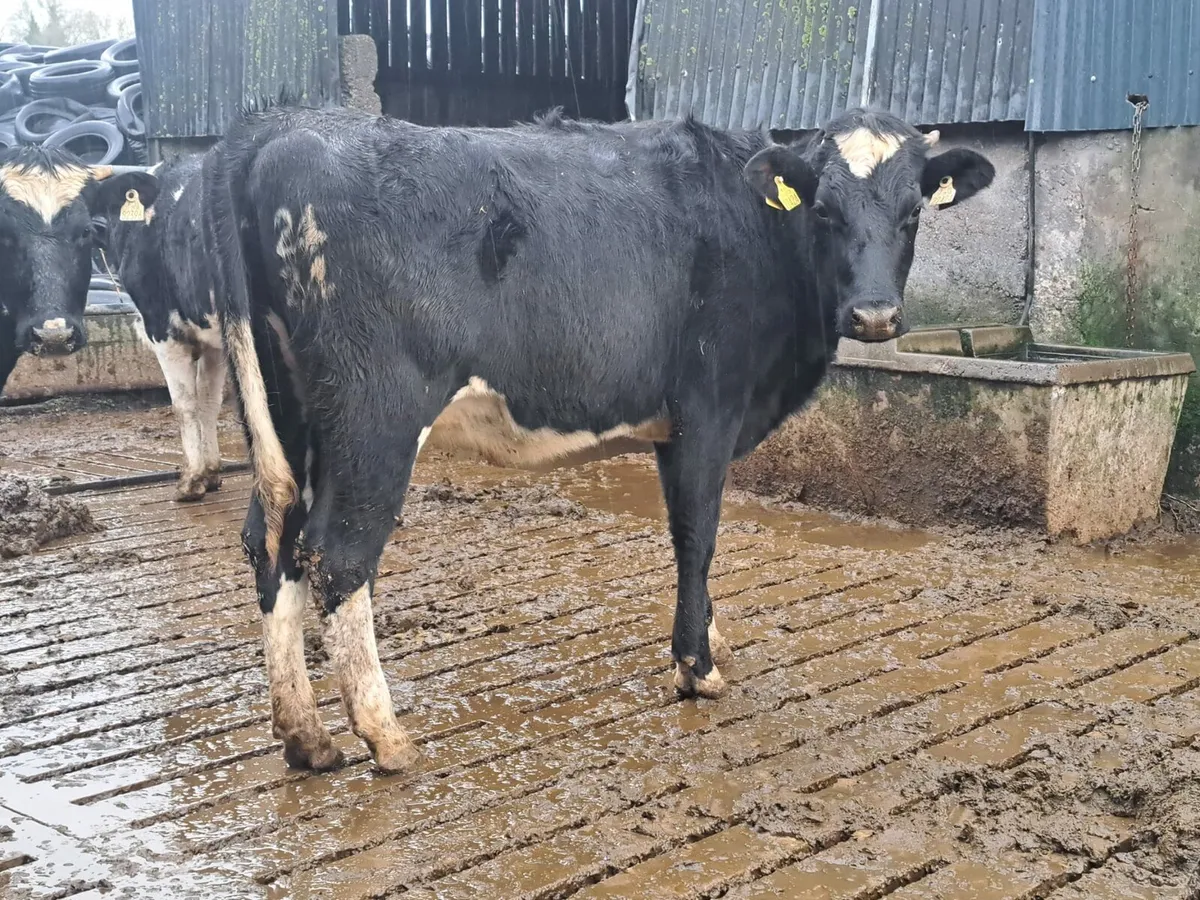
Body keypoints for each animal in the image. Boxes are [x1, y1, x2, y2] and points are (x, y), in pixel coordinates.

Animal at [86, 155, 228, 501]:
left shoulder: (163, 329)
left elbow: (184, 404)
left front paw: (192, 481)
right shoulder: (212, 338)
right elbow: (209, 401)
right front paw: (211, 473)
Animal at [200, 102, 994, 774]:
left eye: (913, 213)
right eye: (824, 210)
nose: (874, 314)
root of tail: (277, 128)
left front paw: (710, 639)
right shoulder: (708, 407)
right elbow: (698, 534)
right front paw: (696, 667)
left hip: (291, 416)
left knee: (271, 540)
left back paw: (305, 736)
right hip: (375, 416)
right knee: (336, 556)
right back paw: (383, 734)